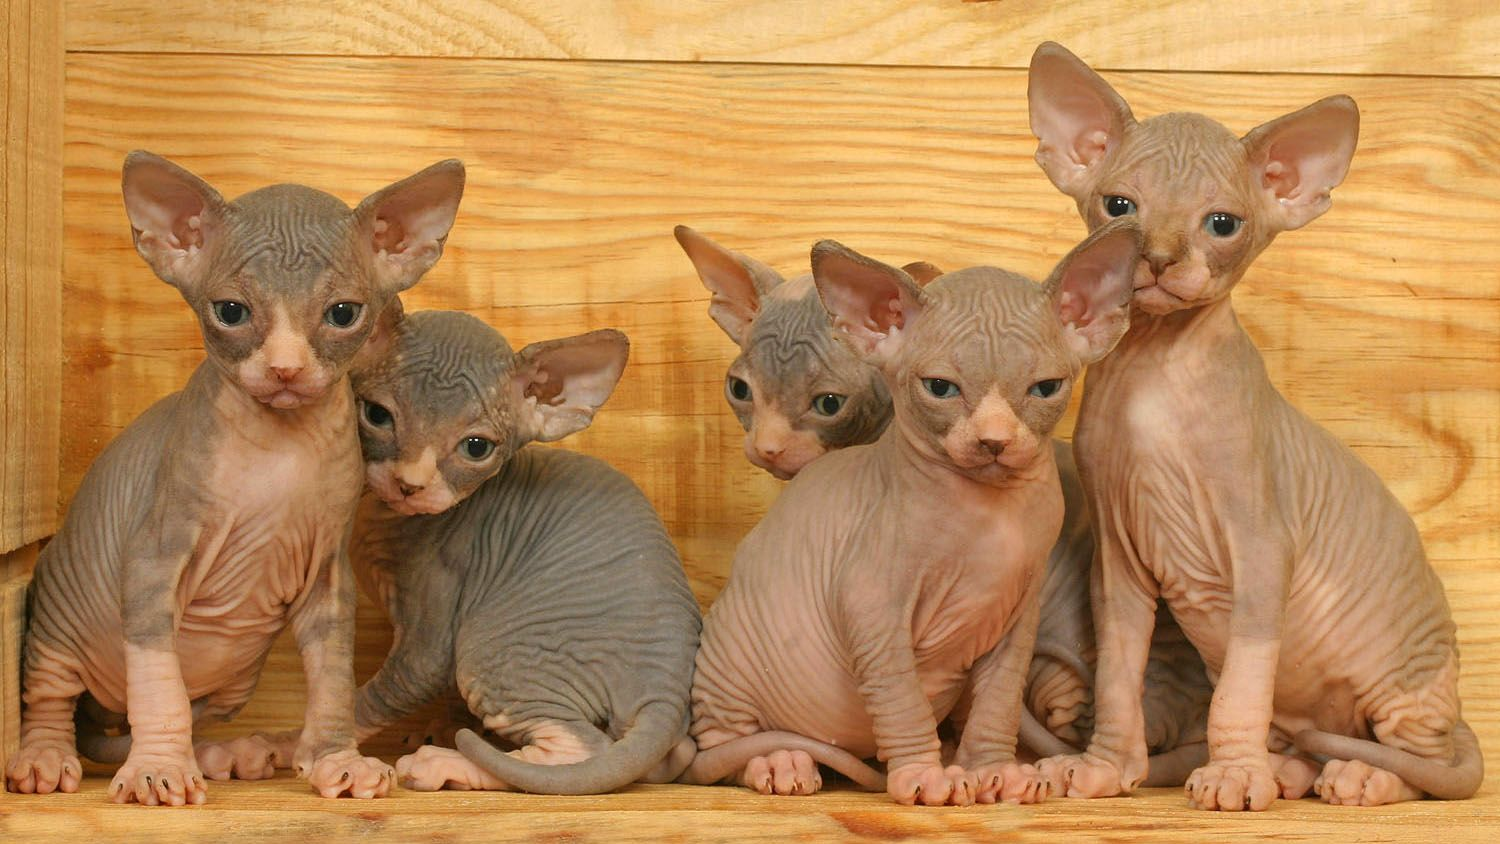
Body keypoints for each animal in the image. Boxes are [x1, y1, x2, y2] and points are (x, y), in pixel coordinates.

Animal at [2, 152, 462, 803]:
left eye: (343, 314)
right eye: (231, 312)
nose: (286, 369)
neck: (281, 447)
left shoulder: (328, 576)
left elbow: (332, 679)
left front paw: (335, 759)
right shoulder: (153, 557)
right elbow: (158, 685)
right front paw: (158, 770)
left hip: (235, 680)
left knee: (185, 712)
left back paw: (222, 753)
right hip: (57, 623)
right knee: (53, 695)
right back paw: (46, 755)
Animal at [343, 307, 699, 797]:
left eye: (476, 447)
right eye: (377, 415)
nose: (409, 484)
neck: (384, 517)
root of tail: (666, 689)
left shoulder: (432, 634)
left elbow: (385, 692)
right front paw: (440, 725)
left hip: (490, 647)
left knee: (578, 749)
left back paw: (443, 763)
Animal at [1026, 42, 1482, 809]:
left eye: (1221, 224)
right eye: (1120, 207)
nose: (1157, 259)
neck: (1156, 374)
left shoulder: (1264, 550)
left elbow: (1237, 688)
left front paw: (1235, 774)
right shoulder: (1117, 562)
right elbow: (1118, 675)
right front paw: (1104, 765)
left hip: (1406, 682)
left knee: (1430, 765)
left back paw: (1359, 775)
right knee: (1314, 742)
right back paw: (1292, 770)